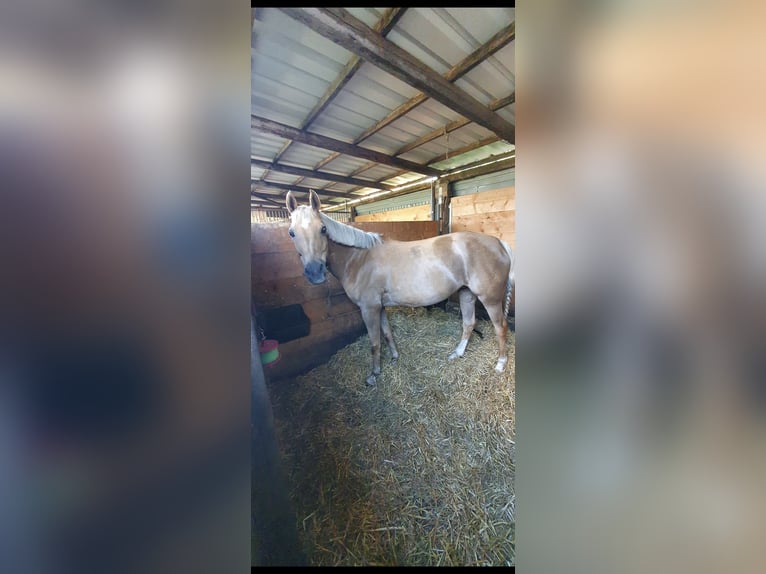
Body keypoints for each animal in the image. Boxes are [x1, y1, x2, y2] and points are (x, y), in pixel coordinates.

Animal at [286, 192, 516, 388]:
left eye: (323, 229)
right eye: (291, 232)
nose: (315, 273)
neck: (359, 259)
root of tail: (499, 243)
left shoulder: (368, 308)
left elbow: (374, 342)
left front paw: (374, 375)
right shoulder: (379, 307)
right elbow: (387, 333)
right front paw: (394, 358)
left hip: (490, 298)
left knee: (500, 327)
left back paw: (500, 364)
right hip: (466, 294)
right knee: (469, 323)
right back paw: (457, 354)